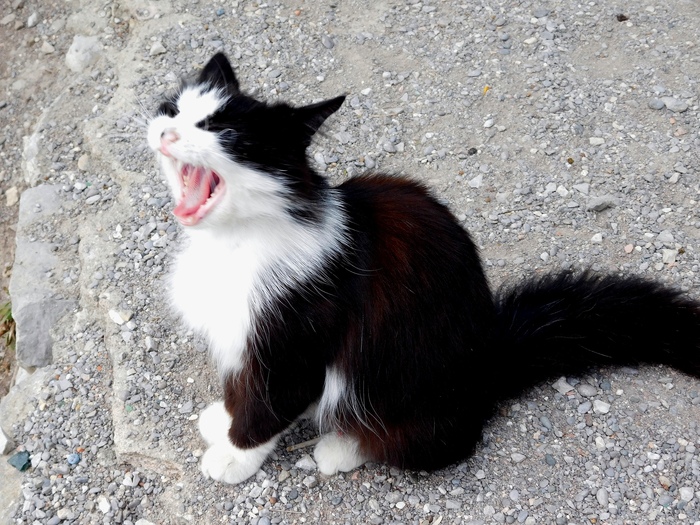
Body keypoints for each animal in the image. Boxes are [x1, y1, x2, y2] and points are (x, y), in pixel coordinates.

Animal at [147, 52, 700, 484]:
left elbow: (267, 406)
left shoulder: (293, 346)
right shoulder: (240, 340)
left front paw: (233, 457)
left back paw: (343, 447)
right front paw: (224, 420)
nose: (166, 131)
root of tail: (489, 363)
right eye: (172, 109)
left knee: (429, 445)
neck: (232, 240)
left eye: (223, 131)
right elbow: (243, 392)